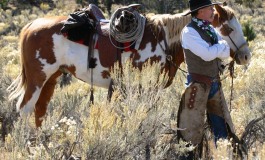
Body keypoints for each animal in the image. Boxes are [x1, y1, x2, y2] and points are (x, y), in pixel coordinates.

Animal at [7, 3, 250, 127]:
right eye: (228, 28)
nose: (246, 56)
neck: (162, 38)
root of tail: (31, 25)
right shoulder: (146, 86)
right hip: (38, 78)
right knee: (25, 108)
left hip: (52, 78)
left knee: (39, 110)